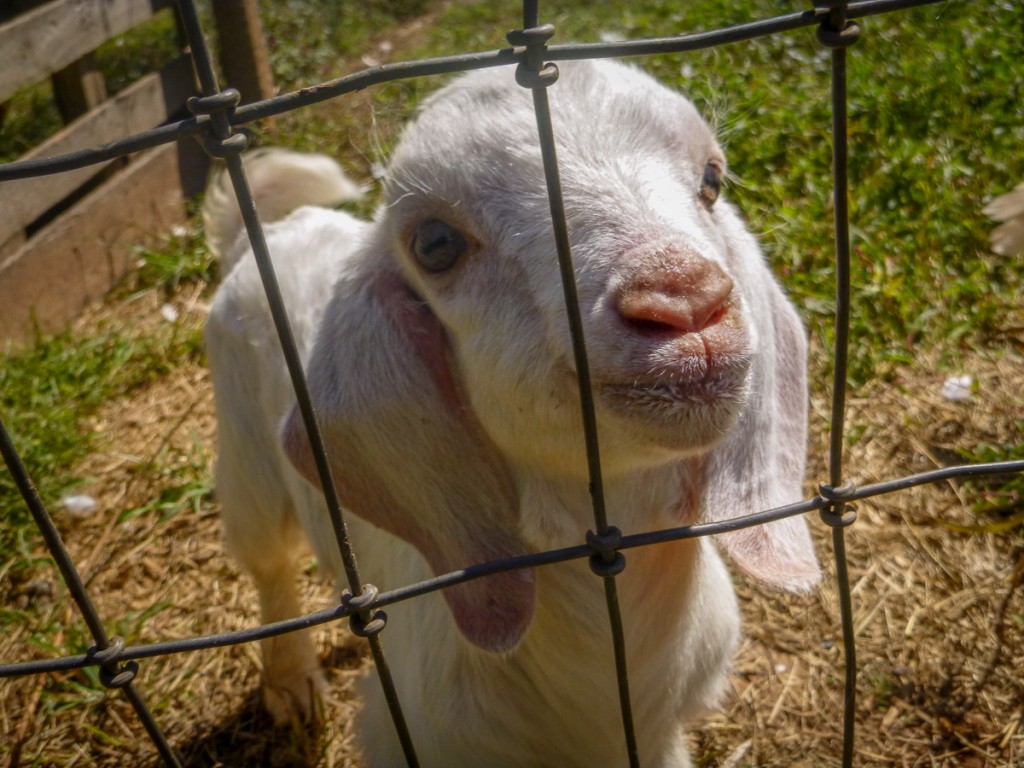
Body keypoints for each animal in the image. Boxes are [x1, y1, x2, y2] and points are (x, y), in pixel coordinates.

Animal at [203, 60, 819, 768]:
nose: (686, 299)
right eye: (434, 244)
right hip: (242, 454)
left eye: (711, 181)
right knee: (267, 562)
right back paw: (292, 682)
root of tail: (268, 231)